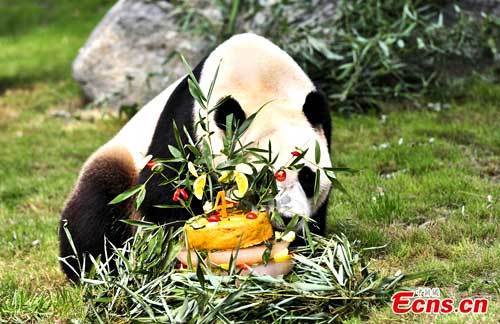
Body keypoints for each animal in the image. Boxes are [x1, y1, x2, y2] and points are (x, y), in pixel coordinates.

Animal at [58, 33, 332, 280]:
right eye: (261, 180)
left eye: (307, 177)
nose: (287, 218)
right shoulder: (186, 126)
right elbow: (162, 194)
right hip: (120, 162)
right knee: (95, 208)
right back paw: (98, 267)